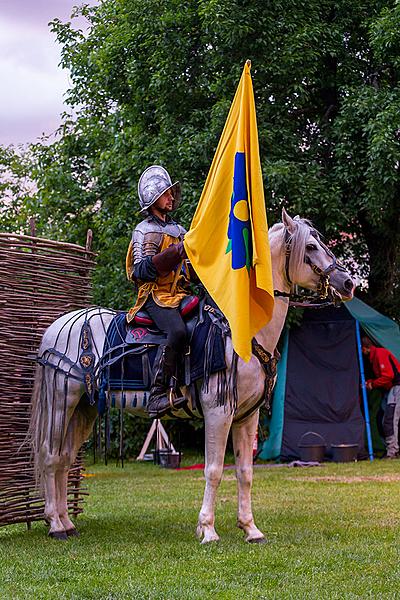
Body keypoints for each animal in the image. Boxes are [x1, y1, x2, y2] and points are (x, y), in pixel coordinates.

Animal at [28, 212, 354, 544]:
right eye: (311, 246)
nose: (348, 283)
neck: (241, 334)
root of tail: (55, 328)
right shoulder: (218, 412)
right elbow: (213, 470)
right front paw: (208, 529)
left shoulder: (246, 416)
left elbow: (245, 472)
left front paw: (250, 528)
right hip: (61, 403)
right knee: (50, 456)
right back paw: (55, 524)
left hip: (85, 407)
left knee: (65, 459)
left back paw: (67, 522)